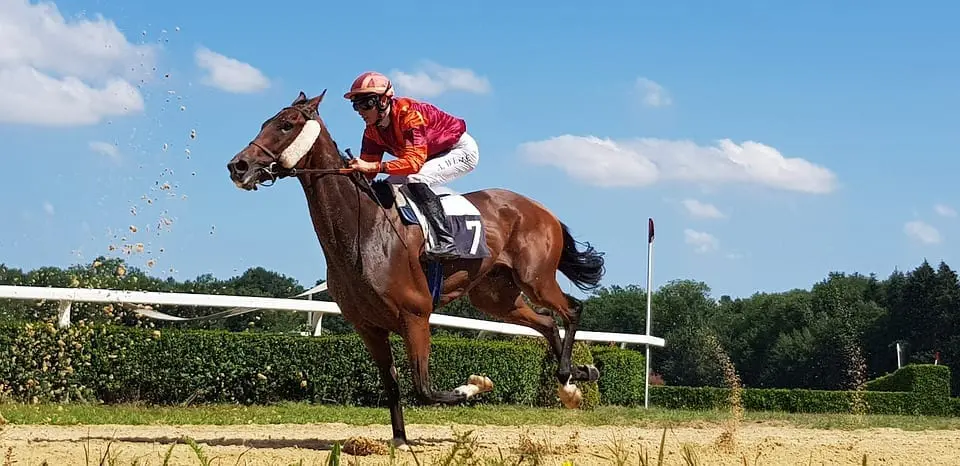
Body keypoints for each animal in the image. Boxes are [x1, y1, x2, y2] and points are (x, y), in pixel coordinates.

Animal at [226, 90, 606, 449]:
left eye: (286, 124)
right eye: (265, 123)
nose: (238, 166)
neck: (365, 232)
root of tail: (542, 210)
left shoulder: (415, 316)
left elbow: (424, 388)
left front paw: (475, 385)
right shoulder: (369, 327)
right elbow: (392, 385)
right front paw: (399, 439)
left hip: (535, 279)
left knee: (572, 310)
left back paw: (572, 377)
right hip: (495, 297)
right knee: (546, 323)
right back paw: (573, 380)